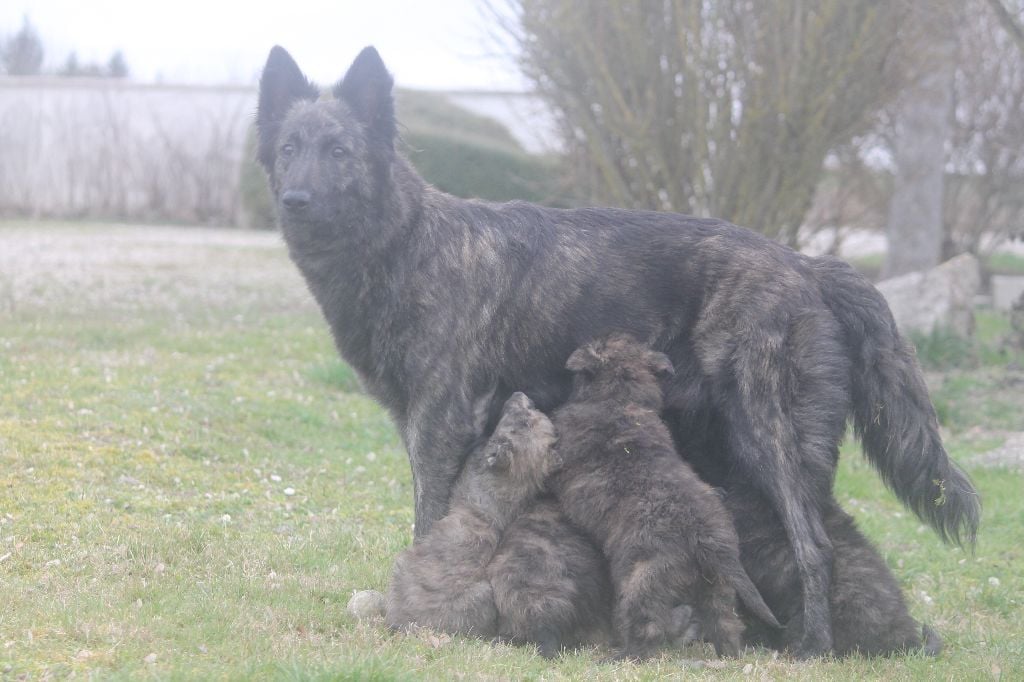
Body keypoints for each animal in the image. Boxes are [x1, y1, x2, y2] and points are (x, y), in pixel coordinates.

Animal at [548, 333, 778, 659]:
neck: (620, 397)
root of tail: (705, 539)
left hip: (641, 582)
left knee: (647, 626)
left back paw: (624, 655)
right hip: (718, 586)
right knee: (727, 624)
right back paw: (728, 655)